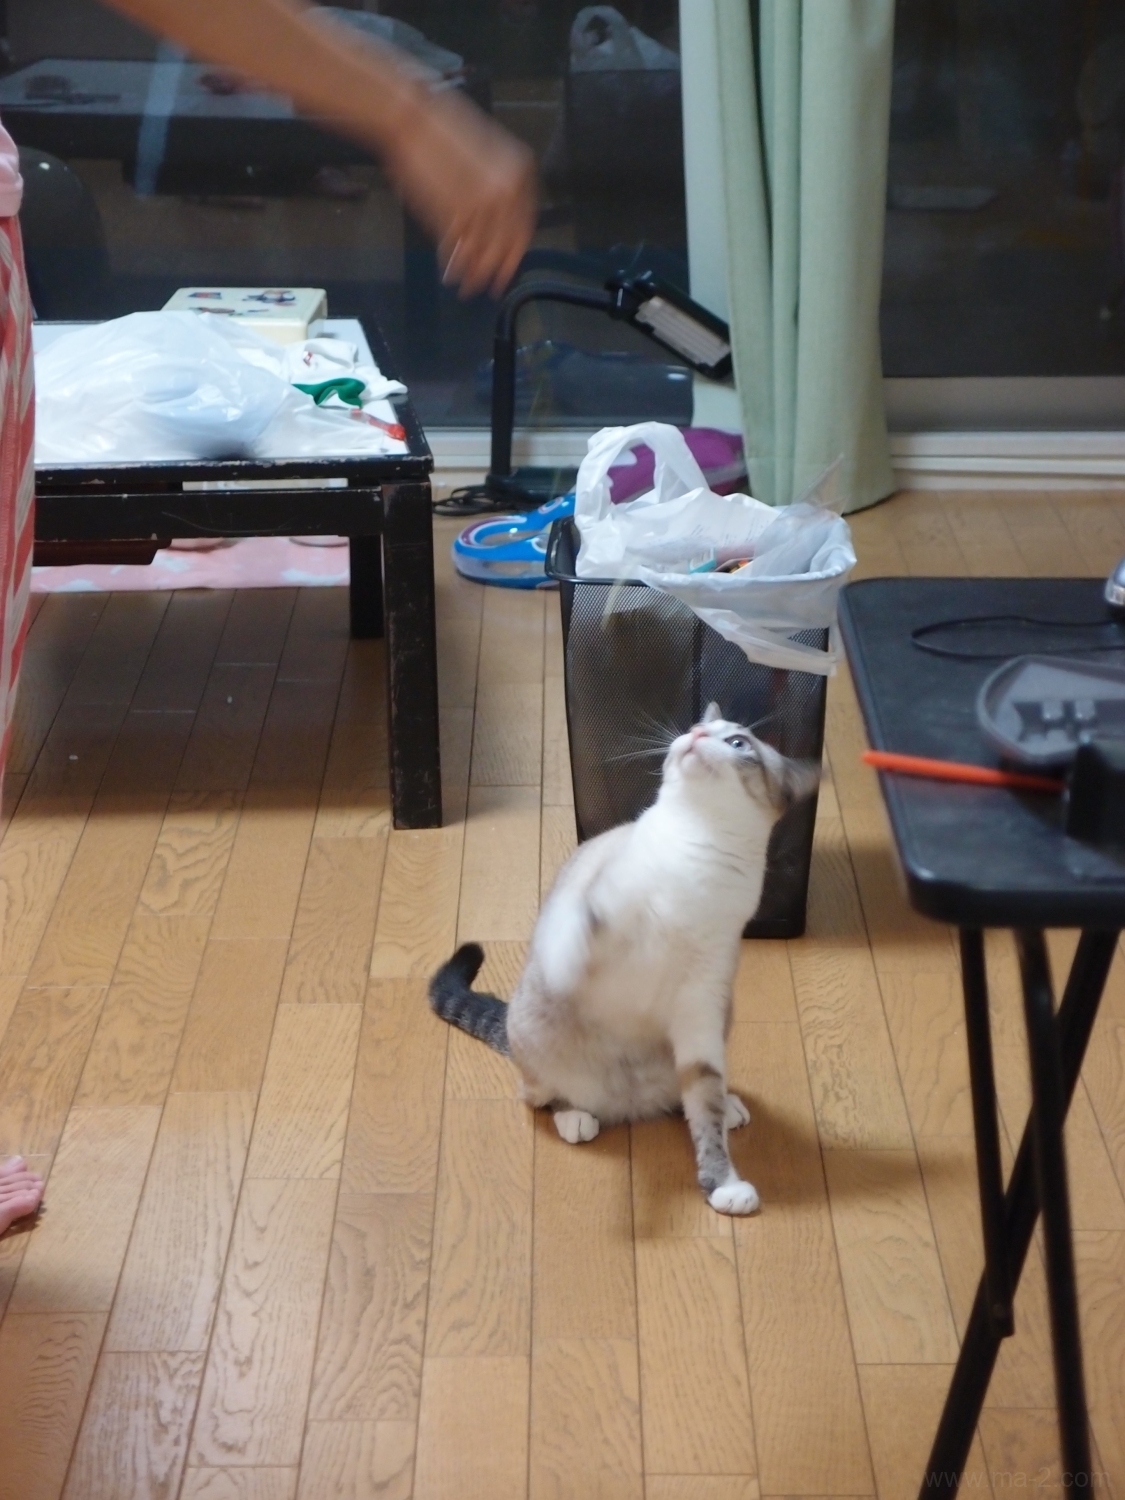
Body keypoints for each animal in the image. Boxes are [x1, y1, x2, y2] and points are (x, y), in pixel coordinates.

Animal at [430, 704, 819, 1215]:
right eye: (698, 725)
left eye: (737, 743)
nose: (696, 734)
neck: (697, 844)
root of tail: (629, 1107)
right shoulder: (595, 914)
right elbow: (586, 928)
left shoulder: (701, 1001)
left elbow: (705, 1106)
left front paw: (723, 1185)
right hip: (534, 1036)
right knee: (541, 1096)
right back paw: (576, 1117)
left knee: (692, 1094)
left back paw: (727, 1106)